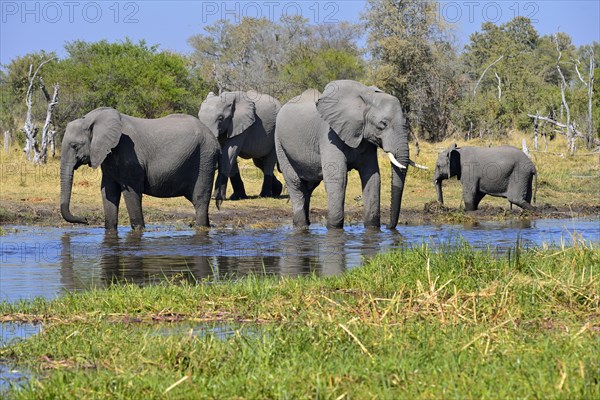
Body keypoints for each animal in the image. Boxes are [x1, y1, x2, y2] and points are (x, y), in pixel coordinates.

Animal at [59, 108, 220, 230]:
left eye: (75, 146)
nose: (85, 220)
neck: (93, 119)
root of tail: (215, 141)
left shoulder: (129, 155)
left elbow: (131, 192)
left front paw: (139, 230)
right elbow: (108, 191)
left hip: (205, 159)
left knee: (200, 200)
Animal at [276, 80, 422, 228]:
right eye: (383, 124)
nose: (388, 226)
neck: (366, 98)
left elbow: (373, 177)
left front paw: (373, 227)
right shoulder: (329, 135)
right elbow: (338, 178)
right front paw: (334, 228)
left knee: (309, 186)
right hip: (279, 143)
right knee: (295, 182)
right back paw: (301, 225)